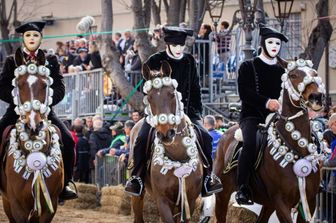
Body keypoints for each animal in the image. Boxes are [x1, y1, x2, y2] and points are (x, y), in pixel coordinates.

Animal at [215, 59, 326, 223]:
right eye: (293, 75)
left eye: (315, 73)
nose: (316, 97)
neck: (297, 148)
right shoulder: (281, 202)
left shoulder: (309, 201)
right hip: (222, 195)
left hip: (268, 204)